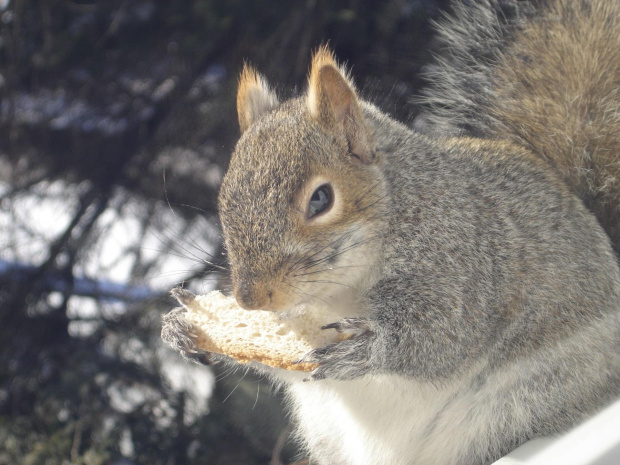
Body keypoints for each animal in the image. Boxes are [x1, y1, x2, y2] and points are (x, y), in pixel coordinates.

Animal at [161, 0, 620, 464]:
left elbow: (444, 332)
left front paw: (367, 348)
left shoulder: (462, 262)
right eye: (226, 193)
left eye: (321, 199)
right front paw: (182, 323)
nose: (250, 300)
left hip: (523, 402)